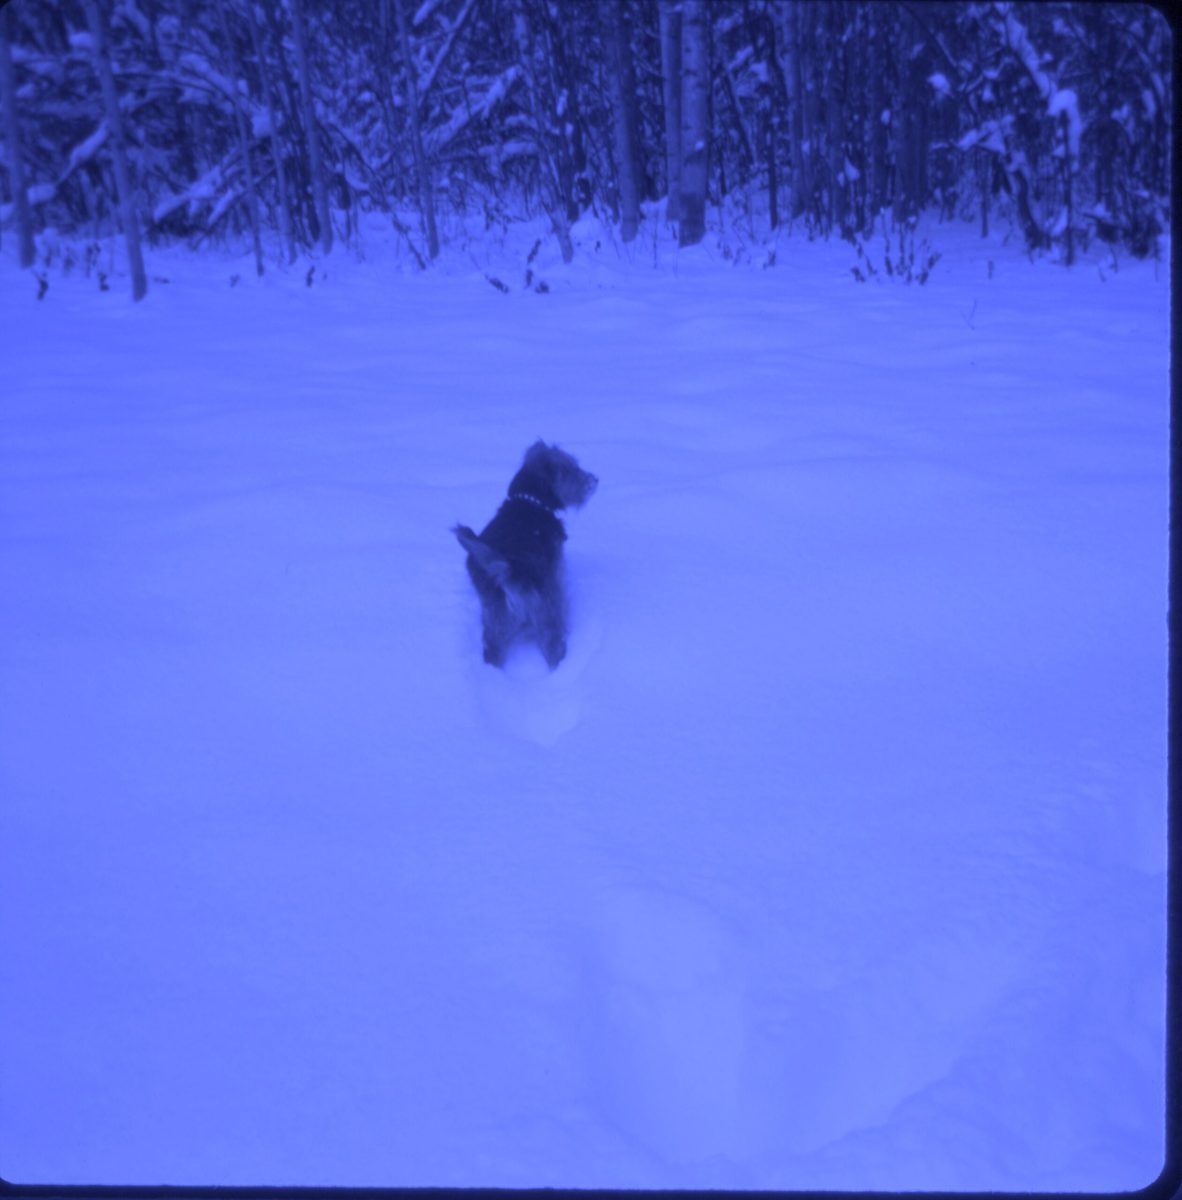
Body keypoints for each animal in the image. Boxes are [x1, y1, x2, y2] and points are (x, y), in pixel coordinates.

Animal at [453, 441, 597, 669]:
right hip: (545, 609)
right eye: (568, 469)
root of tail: (509, 567)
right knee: (552, 643)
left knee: (492, 648)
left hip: (494, 616)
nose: (594, 480)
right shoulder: (556, 571)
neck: (530, 501)